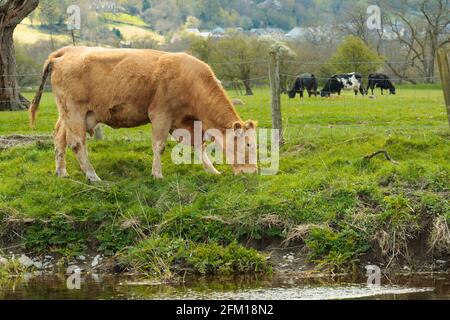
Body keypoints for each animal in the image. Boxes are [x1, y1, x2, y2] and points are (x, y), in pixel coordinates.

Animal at [29, 46, 258, 181]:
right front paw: (157, 174)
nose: (253, 172)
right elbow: (159, 145)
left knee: (59, 136)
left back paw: (62, 172)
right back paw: (93, 176)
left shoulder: (185, 122)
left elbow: (198, 145)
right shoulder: (161, 114)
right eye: (248, 144)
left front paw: (212, 171)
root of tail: (67, 51)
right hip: (74, 111)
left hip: (68, 114)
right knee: (77, 143)